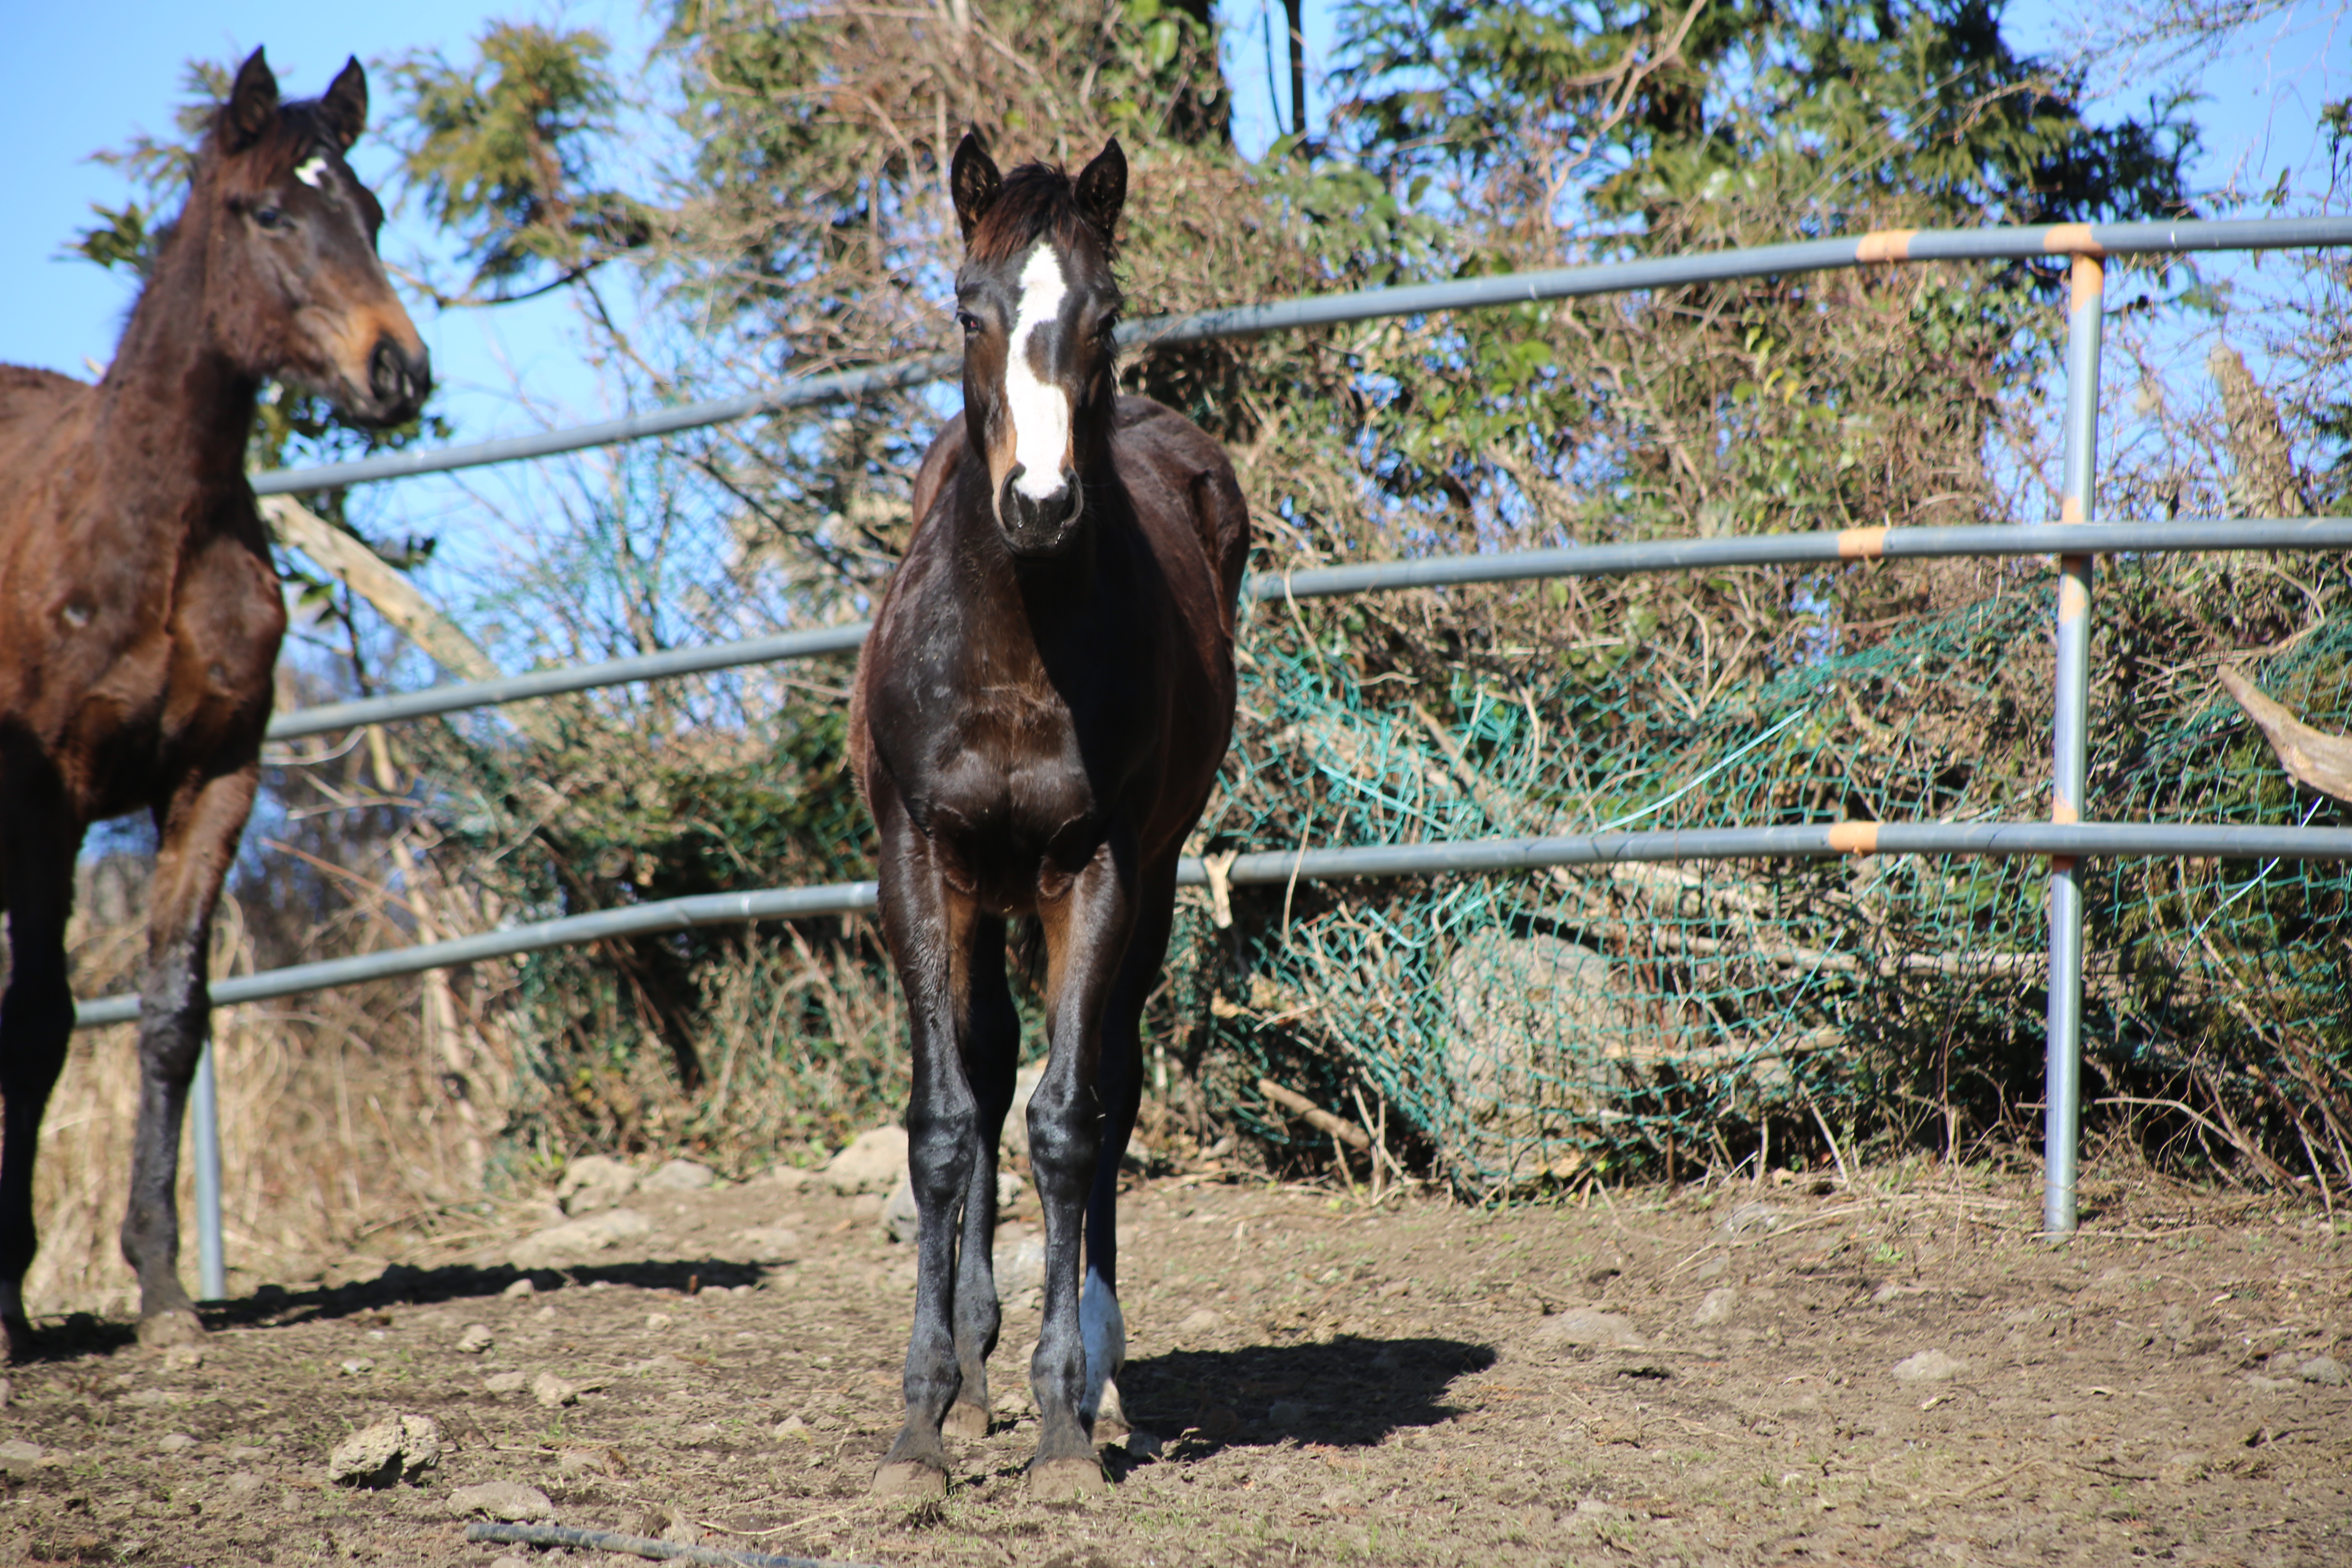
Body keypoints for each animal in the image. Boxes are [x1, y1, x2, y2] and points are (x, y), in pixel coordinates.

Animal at [0, 43, 432, 1354]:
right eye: (269, 212)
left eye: (373, 210)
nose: (397, 368)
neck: (150, 527)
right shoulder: (49, 806)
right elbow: (39, 1022)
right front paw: (10, 1302)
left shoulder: (212, 781)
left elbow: (171, 1018)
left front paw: (158, 1284)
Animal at [846, 131, 1251, 1495]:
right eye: (969, 312)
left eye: (1106, 314)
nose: (1039, 501)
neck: (1017, 645)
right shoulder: (920, 862)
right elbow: (944, 1124)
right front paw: (922, 1420)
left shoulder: (1104, 867)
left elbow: (1072, 1121)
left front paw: (1067, 1421)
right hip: (983, 885)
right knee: (983, 1069)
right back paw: (975, 1372)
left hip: (1150, 884)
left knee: (1106, 1078)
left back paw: (1100, 1369)